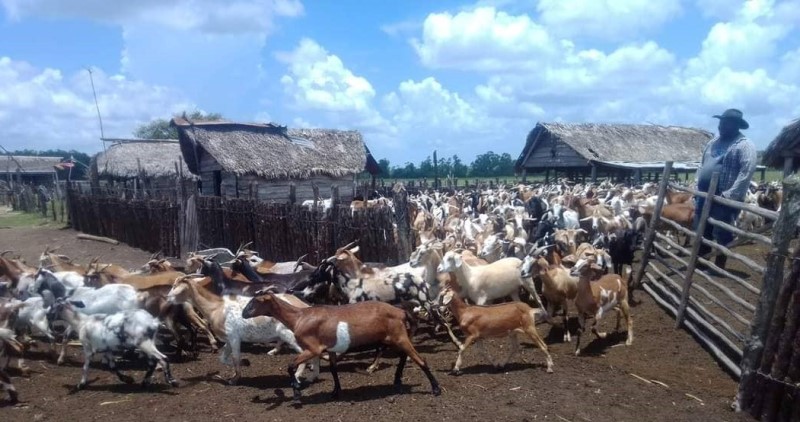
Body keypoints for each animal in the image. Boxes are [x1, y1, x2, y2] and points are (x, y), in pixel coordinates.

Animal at [48, 298, 180, 390]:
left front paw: (81, 384)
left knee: (163, 358)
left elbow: (85, 367)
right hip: (148, 344)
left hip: (144, 344)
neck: (82, 322)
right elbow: (112, 366)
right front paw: (127, 379)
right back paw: (144, 383)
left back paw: (172, 382)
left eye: (51, 309)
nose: (47, 318)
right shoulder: (107, 349)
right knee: (153, 363)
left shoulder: (88, 349)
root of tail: (153, 321)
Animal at [244, 292, 444, 404]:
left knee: (420, 359)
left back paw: (436, 389)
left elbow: (291, 366)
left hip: (399, 336)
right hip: (395, 338)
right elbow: (333, 369)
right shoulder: (331, 348)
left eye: (255, 302)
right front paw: (335, 392)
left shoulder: (313, 349)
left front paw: (297, 395)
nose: (244, 313)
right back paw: (397, 380)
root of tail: (400, 312)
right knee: (404, 356)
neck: (299, 317)